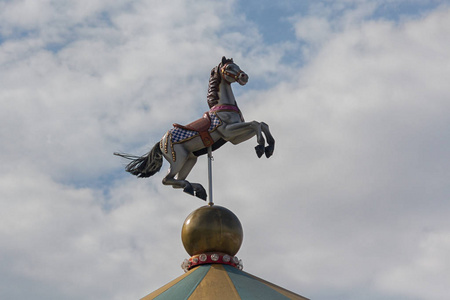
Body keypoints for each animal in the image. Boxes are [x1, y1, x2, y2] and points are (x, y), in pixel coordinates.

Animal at [114, 57, 276, 200]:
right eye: (230, 67)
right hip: (178, 159)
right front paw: (260, 147)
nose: (244, 76)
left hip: (190, 159)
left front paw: (269, 148)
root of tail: (161, 143)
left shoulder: (234, 138)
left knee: (175, 181)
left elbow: (262, 124)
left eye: (237, 65)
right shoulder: (227, 131)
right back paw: (194, 188)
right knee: (166, 179)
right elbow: (255, 123)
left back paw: (197, 189)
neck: (222, 107)